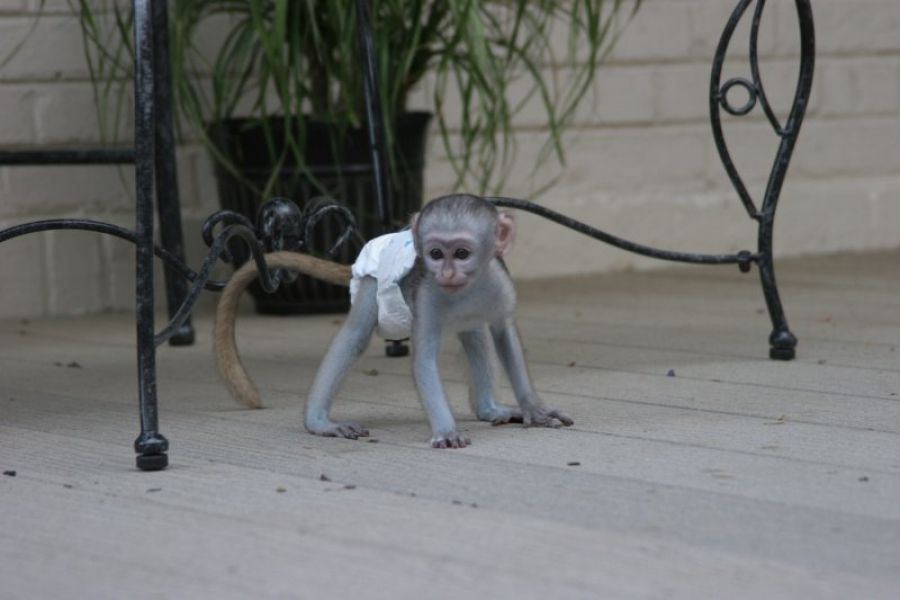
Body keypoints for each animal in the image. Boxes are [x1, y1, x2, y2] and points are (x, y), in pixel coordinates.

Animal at [215, 193, 573, 448]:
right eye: (435, 254)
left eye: (461, 254)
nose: (446, 274)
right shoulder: (428, 294)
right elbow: (424, 359)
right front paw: (445, 430)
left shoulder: (499, 283)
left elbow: (504, 336)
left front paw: (534, 409)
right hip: (371, 283)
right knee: (355, 334)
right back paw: (319, 422)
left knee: (474, 332)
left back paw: (490, 409)